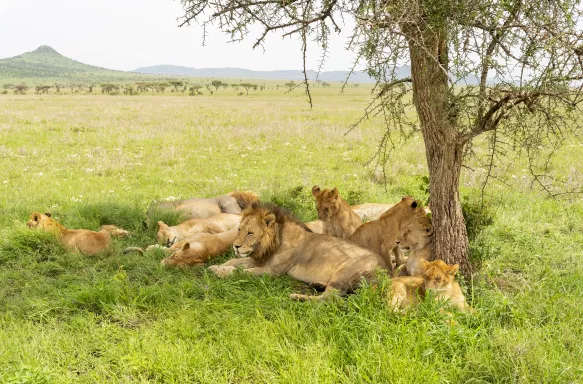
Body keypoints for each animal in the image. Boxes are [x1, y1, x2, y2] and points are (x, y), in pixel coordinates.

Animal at [208, 201, 390, 300]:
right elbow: (236, 261)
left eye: (250, 233)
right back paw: (317, 284)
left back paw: (297, 297)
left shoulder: (272, 271)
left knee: (329, 299)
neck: (274, 242)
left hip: (346, 269)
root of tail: (387, 272)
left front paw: (220, 271)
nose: (235, 246)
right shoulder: (259, 259)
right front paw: (217, 266)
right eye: (239, 230)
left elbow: (241, 271)